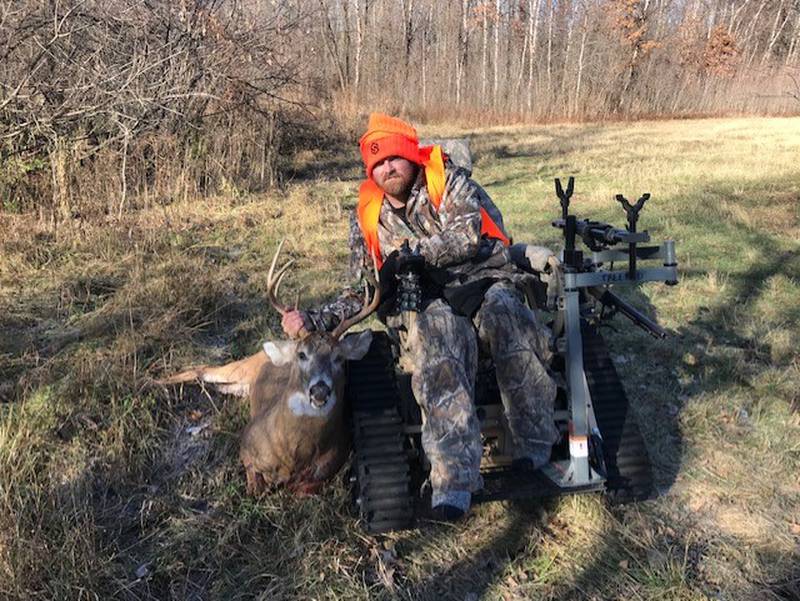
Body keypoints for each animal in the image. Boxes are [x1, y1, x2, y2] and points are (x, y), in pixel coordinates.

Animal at [159, 239, 382, 492]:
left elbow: (301, 488)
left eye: (339, 358)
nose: (319, 391)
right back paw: (155, 384)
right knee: (200, 369)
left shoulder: (327, 468)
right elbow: (257, 489)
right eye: (301, 354)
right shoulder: (247, 448)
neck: (294, 453)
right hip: (241, 367)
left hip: (239, 387)